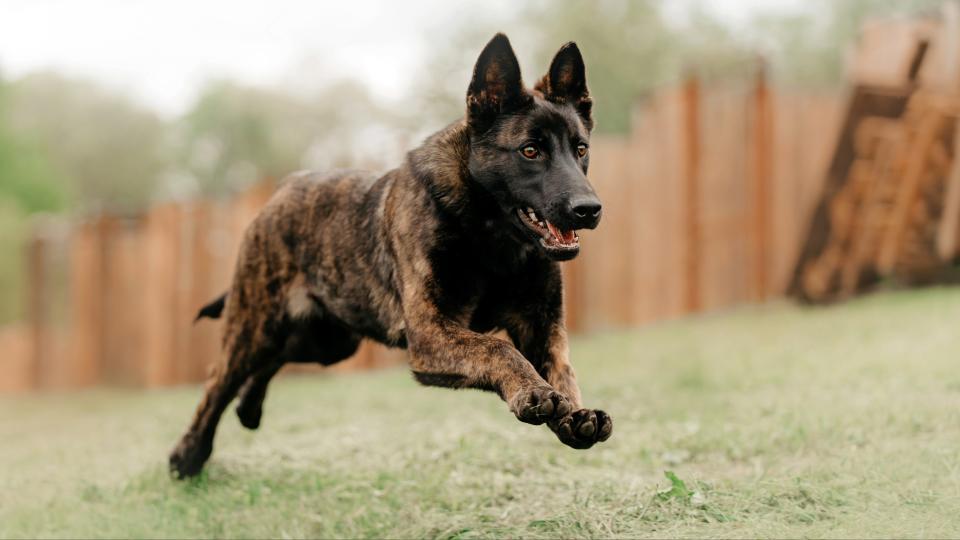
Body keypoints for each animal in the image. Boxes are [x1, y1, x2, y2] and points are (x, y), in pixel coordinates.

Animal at [169, 33, 612, 478]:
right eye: (530, 151)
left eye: (581, 149)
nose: (589, 210)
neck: (492, 237)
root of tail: (281, 190)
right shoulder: (431, 333)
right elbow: (499, 349)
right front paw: (533, 392)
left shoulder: (541, 327)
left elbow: (562, 370)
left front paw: (574, 414)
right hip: (255, 327)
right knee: (218, 381)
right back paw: (188, 454)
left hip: (326, 341)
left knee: (272, 361)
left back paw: (248, 407)